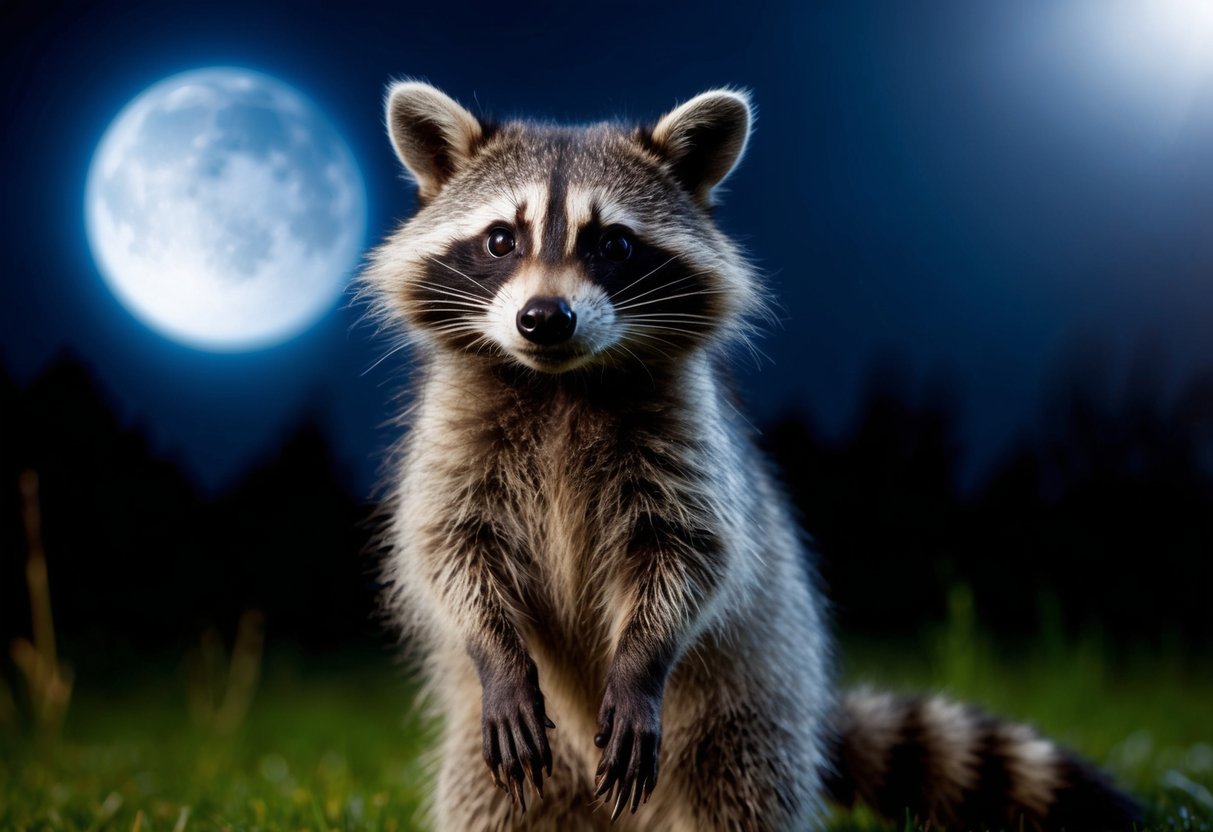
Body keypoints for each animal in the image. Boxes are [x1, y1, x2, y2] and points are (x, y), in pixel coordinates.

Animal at [363, 81, 1140, 831]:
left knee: (740, 797)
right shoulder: (453, 438)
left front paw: (642, 660)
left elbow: (691, 555)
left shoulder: (689, 440)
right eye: (500, 239)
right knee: (493, 807)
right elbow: (449, 550)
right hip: (495, 761)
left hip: (743, 726)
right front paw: (494, 650)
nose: (545, 319)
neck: (562, 382)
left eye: (613, 245)